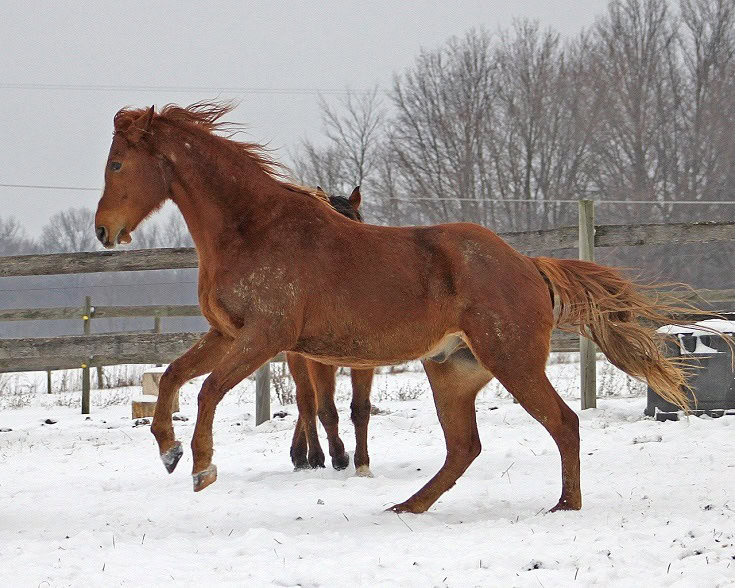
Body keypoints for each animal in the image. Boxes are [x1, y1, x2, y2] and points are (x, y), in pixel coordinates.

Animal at [288, 186, 375, 475]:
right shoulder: (317, 361)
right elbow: (325, 409)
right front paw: (338, 456)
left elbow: (361, 409)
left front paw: (362, 463)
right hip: (298, 358)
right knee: (306, 400)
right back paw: (310, 456)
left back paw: (299, 453)